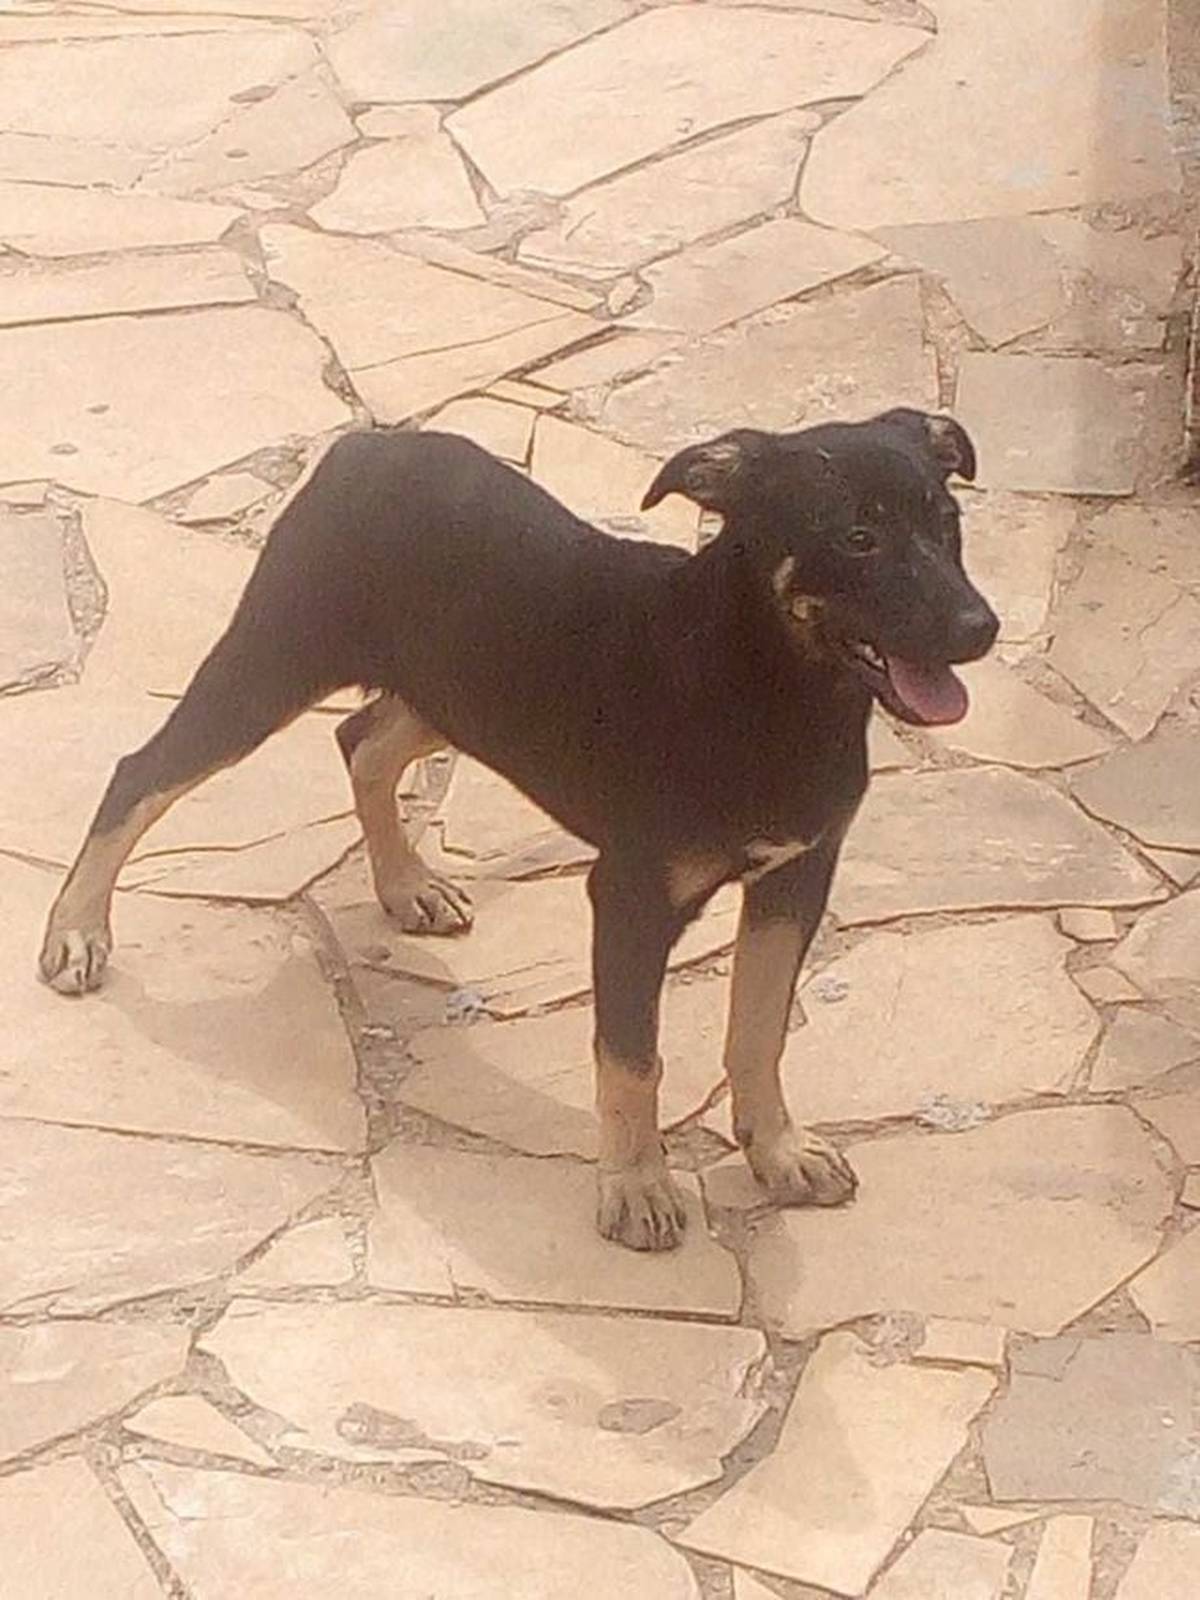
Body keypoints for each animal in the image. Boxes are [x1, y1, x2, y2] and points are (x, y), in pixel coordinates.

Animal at [39, 407, 997, 1251]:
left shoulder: (798, 875)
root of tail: (365, 447)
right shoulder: (631, 897)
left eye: (948, 522)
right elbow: (632, 1059)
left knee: (364, 743)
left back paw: (406, 885)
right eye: (858, 538)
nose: (980, 629)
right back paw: (78, 932)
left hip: (451, 691)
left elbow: (758, 1029)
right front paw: (636, 1189)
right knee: (142, 775)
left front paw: (779, 1153)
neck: (768, 679)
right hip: (276, 662)